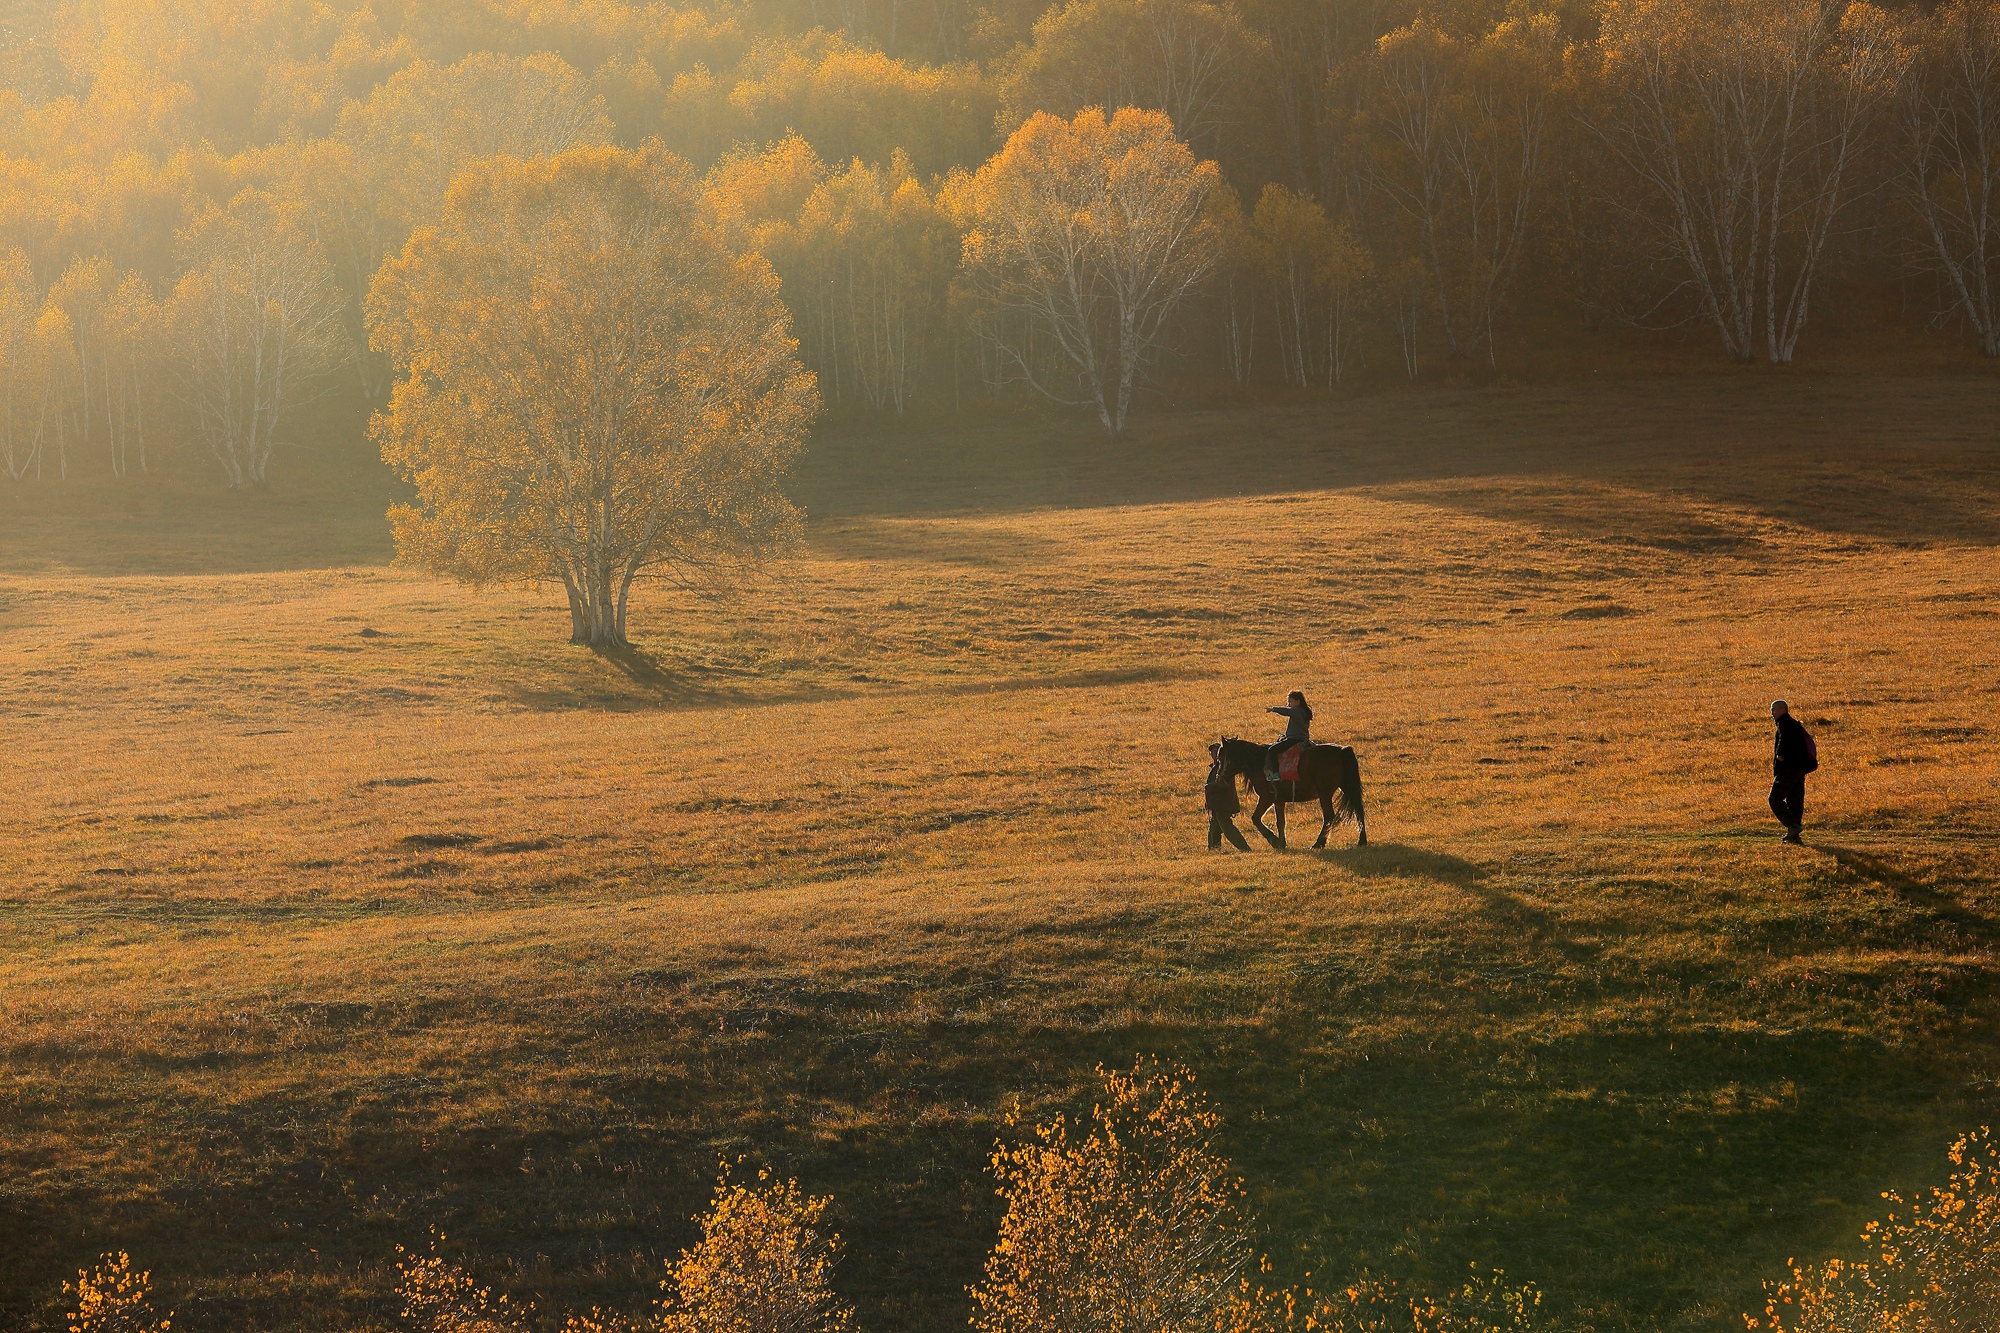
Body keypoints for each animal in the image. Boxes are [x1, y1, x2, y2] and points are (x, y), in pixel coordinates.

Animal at [1212, 737, 1367, 850]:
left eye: (1220, 757)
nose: (1218, 778)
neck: (1258, 762)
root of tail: (1342, 750)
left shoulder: (1266, 798)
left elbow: (1255, 818)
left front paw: (1274, 840)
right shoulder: (1278, 800)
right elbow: (1280, 821)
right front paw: (1281, 843)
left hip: (1325, 793)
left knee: (1329, 816)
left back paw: (1318, 843)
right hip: (1346, 787)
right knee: (1358, 810)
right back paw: (1362, 841)